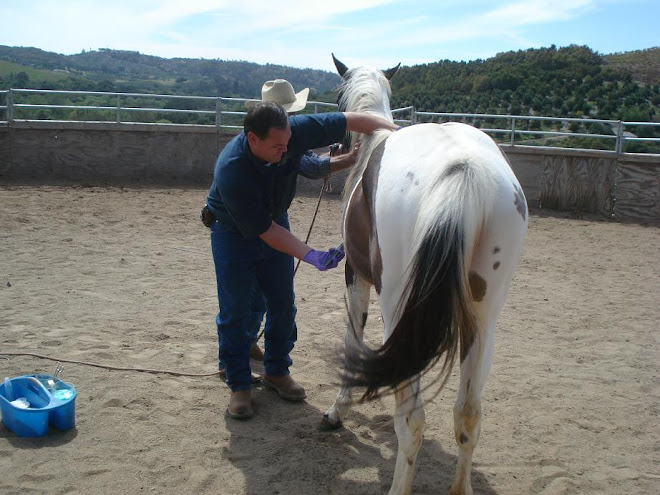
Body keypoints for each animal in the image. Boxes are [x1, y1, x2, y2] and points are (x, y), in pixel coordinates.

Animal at [322, 55, 528, 495]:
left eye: (336, 96)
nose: (337, 149)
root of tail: (463, 171)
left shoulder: (355, 276)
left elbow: (352, 337)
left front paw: (337, 411)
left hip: (401, 313)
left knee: (412, 418)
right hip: (483, 320)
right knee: (468, 412)